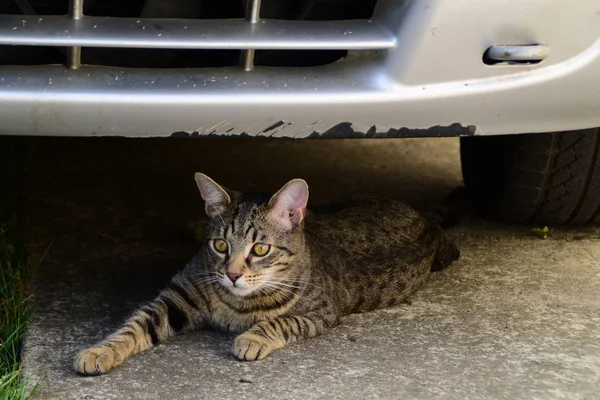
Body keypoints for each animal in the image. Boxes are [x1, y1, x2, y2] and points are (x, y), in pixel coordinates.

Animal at [75, 173, 460, 376]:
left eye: (260, 249)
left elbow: (281, 320)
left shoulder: (321, 312)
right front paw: (99, 351)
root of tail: (423, 217)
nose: (231, 274)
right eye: (220, 245)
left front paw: (253, 338)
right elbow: (134, 325)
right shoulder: (176, 298)